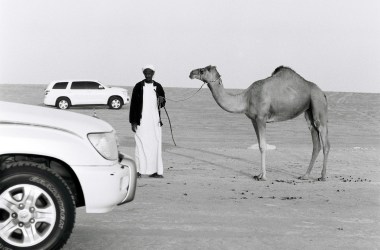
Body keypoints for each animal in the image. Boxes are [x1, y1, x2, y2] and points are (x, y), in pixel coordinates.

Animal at [190, 65, 330, 181]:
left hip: (318, 104)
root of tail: (322, 93)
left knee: (325, 142)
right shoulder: (253, 119)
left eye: (203, 70)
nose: (191, 73)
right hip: (309, 111)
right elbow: (259, 145)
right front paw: (258, 174)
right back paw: (305, 175)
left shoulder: (261, 118)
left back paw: (322, 177)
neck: (246, 99)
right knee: (315, 142)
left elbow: (263, 146)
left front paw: (263, 177)